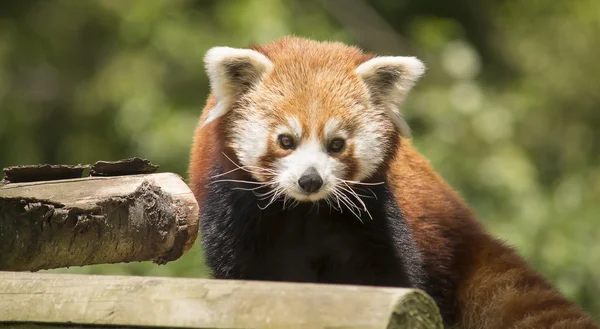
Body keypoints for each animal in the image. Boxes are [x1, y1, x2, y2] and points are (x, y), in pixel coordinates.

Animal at [189, 37, 600, 326]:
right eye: (286, 141)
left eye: (337, 144)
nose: (310, 181)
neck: (304, 213)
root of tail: (467, 230)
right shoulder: (236, 216)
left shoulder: (374, 220)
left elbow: (389, 277)